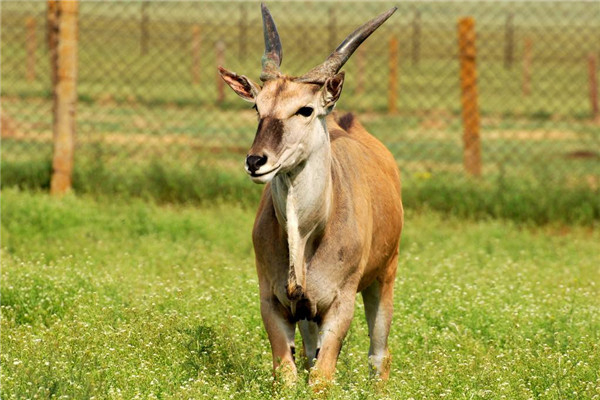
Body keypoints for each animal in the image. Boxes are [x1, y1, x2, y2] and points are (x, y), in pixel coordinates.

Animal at [217, 2, 404, 384]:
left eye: (305, 109)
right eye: (257, 107)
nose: (256, 161)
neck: (306, 234)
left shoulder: (340, 304)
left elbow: (322, 378)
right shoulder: (274, 303)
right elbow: (288, 374)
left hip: (385, 276)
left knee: (379, 355)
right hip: (308, 316)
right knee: (308, 354)